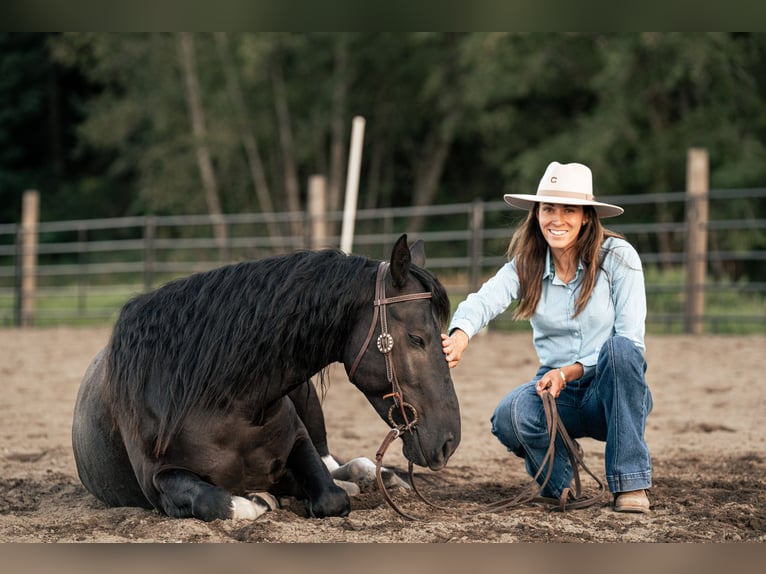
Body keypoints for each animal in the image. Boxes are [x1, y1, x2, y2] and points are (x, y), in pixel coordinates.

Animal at [70, 234, 462, 520]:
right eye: (417, 338)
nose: (448, 441)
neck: (223, 403)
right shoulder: (159, 482)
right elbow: (220, 502)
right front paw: (261, 498)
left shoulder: (300, 444)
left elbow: (331, 497)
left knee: (333, 462)